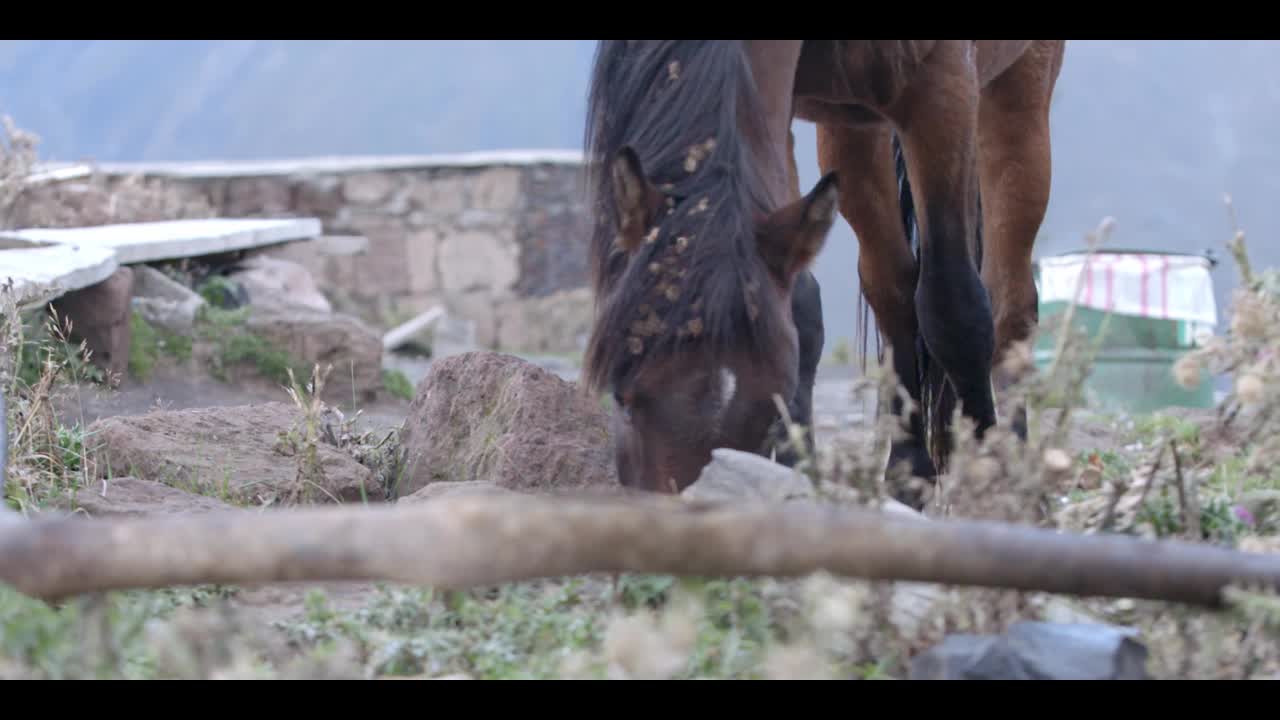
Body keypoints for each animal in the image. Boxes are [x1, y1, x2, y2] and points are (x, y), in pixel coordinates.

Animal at [586, 37, 1064, 499]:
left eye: (770, 406)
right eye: (620, 395)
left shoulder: (944, 89)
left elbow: (954, 307)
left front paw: (992, 484)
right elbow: (804, 306)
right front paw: (797, 472)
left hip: (1018, 90)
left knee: (1008, 300)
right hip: (849, 130)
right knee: (892, 288)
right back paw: (908, 474)